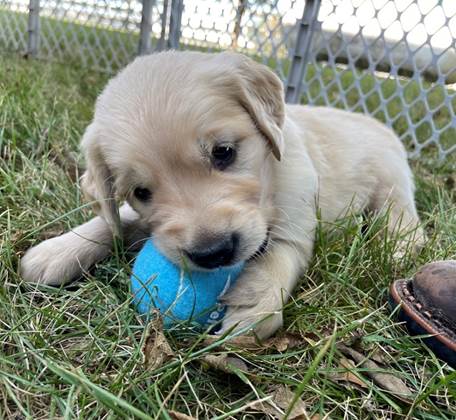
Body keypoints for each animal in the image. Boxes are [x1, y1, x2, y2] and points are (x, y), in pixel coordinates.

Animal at [18, 50, 424, 338]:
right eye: (141, 191)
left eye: (224, 152)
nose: (212, 253)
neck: (270, 183)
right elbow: (114, 221)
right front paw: (58, 250)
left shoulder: (298, 215)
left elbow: (281, 253)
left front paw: (254, 306)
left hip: (391, 179)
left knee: (405, 219)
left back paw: (399, 246)